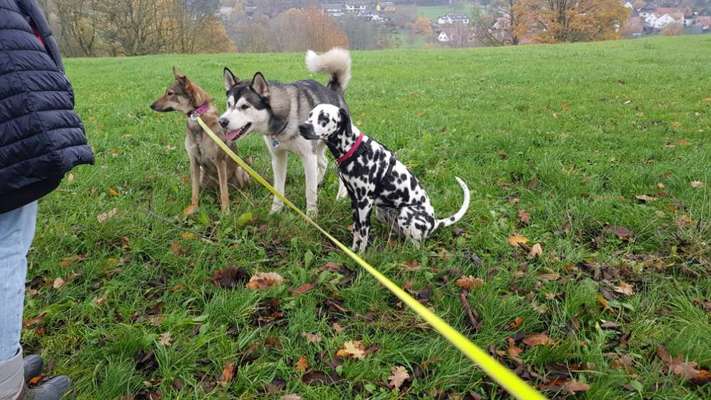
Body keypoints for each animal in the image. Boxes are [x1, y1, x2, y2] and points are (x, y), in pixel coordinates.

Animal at [150, 67, 250, 214]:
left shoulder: (220, 161)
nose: (151, 105)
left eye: (170, 93)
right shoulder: (194, 162)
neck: (198, 118)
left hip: (239, 170)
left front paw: (225, 212)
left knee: (233, 189)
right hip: (203, 173)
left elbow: (224, 192)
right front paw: (193, 208)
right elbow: (195, 191)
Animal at [217, 48, 350, 217]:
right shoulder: (278, 157)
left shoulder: (308, 156)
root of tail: (334, 91)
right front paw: (275, 212)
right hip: (318, 148)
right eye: (229, 104)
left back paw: (341, 196)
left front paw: (311, 215)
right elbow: (279, 189)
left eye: (245, 106)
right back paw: (319, 181)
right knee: (323, 162)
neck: (284, 120)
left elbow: (309, 191)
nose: (222, 121)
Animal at [298, 104, 470, 252]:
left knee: (416, 244)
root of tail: (434, 222)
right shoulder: (355, 201)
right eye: (310, 115)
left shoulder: (365, 203)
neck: (354, 149)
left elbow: (363, 233)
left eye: (324, 118)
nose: (302, 127)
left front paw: (361, 256)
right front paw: (353, 251)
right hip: (382, 213)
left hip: (406, 214)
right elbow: (356, 230)